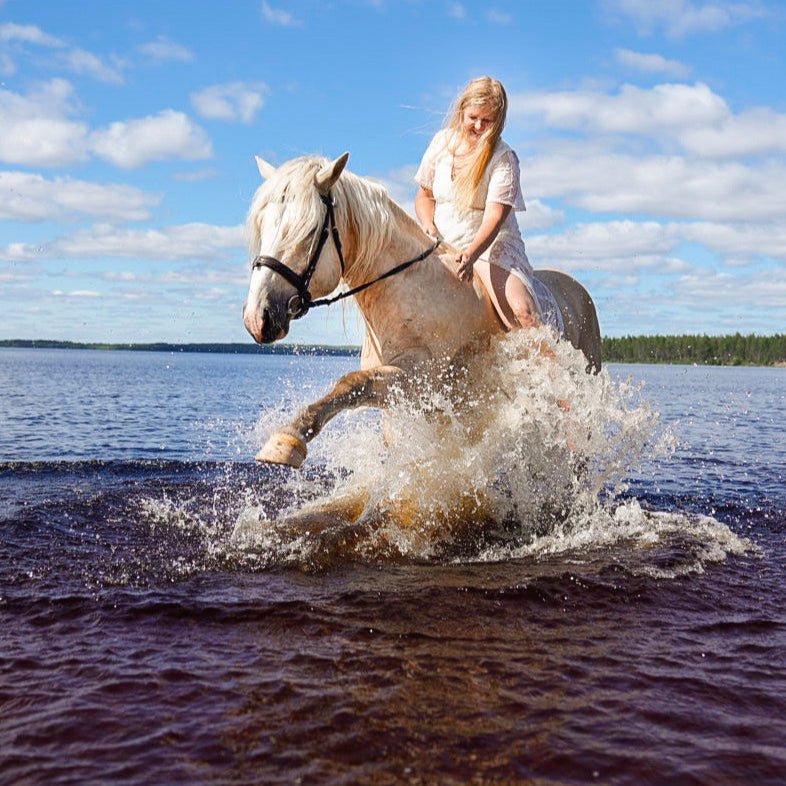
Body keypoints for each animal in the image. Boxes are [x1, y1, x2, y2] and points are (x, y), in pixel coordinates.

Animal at [242, 152, 601, 471]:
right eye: (263, 226)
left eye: (310, 230)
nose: (257, 317)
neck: (406, 291)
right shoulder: (401, 402)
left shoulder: (418, 378)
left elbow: (349, 383)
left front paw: (287, 441)